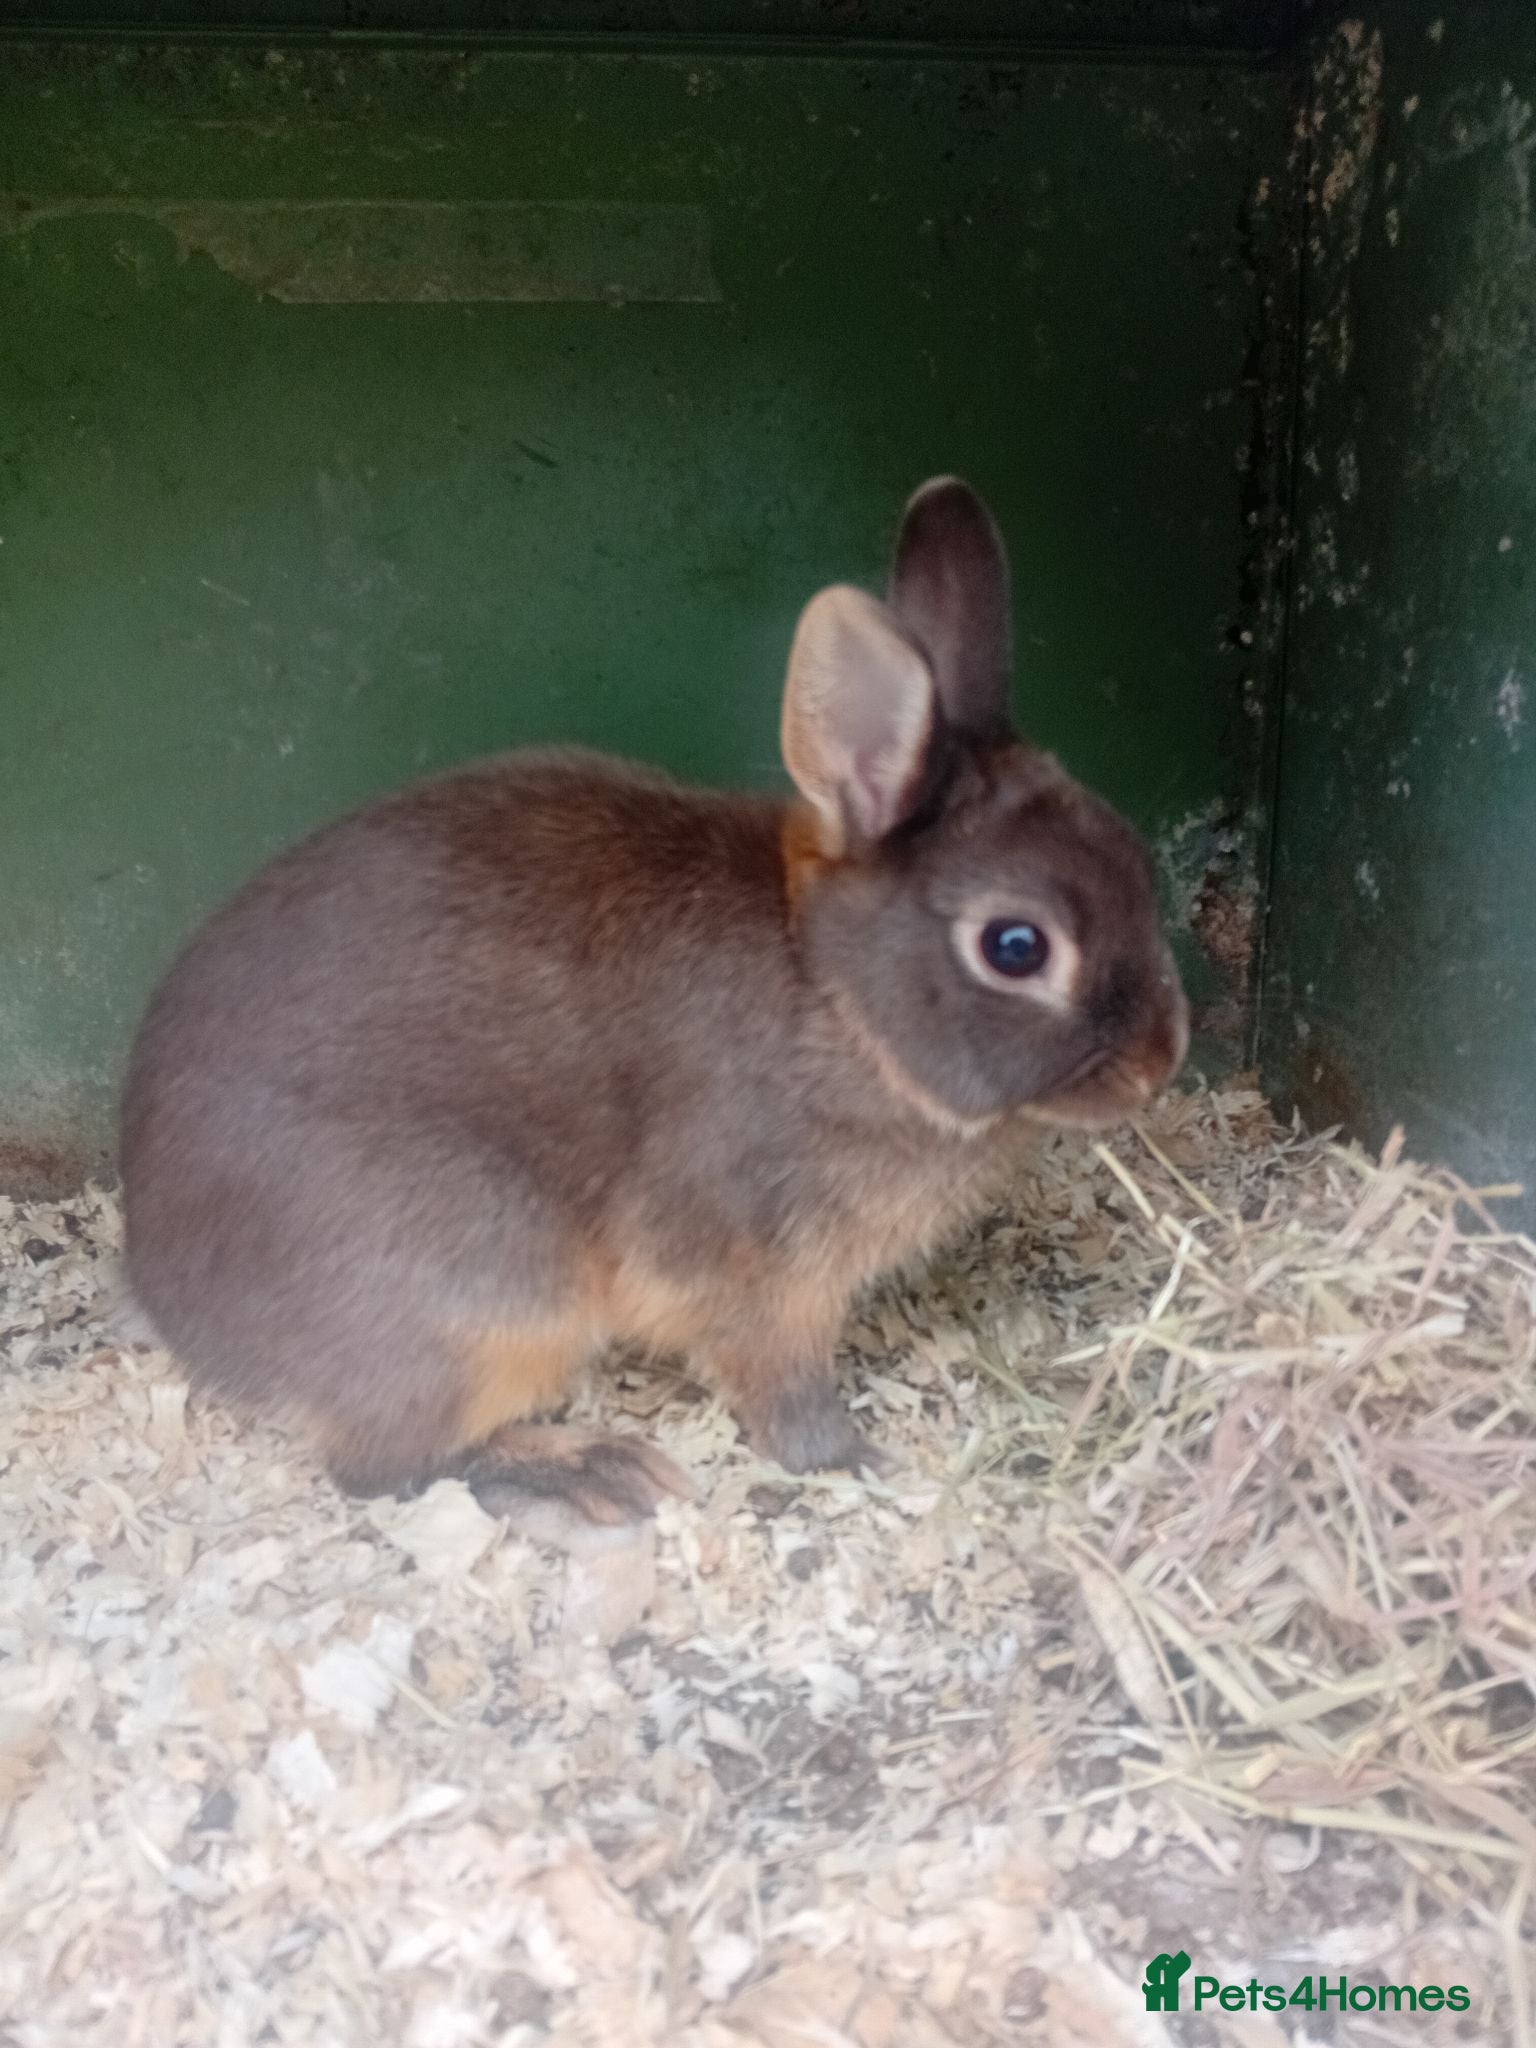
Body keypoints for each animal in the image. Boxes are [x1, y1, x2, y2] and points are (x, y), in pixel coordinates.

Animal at [119, 478, 1188, 1524]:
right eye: (1016, 947)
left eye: (1133, 854)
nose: (1160, 1061)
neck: (838, 997)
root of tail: (180, 1313)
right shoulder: (758, 1274)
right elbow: (783, 1389)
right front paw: (853, 1461)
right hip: (485, 1296)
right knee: (388, 1467)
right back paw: (592, 1474)